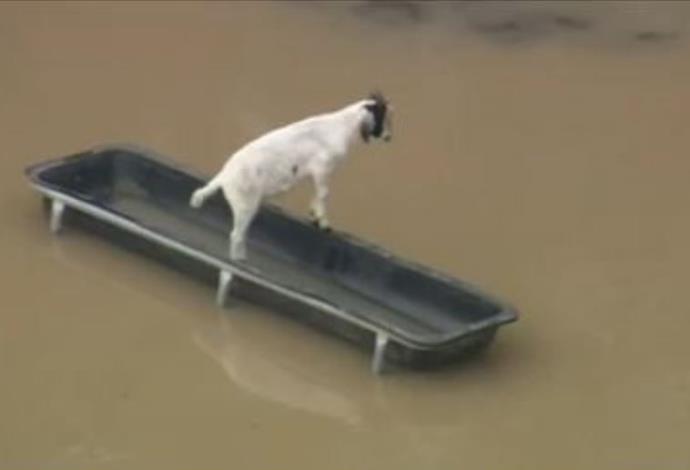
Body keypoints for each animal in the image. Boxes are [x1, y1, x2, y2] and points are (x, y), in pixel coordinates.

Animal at [188, 92, 392, 260]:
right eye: (383, 116)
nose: (389, 137)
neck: (342, 126)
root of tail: (225, 176)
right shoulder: (322, 168)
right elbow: (324, 193)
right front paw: (324, 224)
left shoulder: (317, 173)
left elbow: (317, 194)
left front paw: (314, 216)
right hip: (246, 206)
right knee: (236, 235)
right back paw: (240, 260)